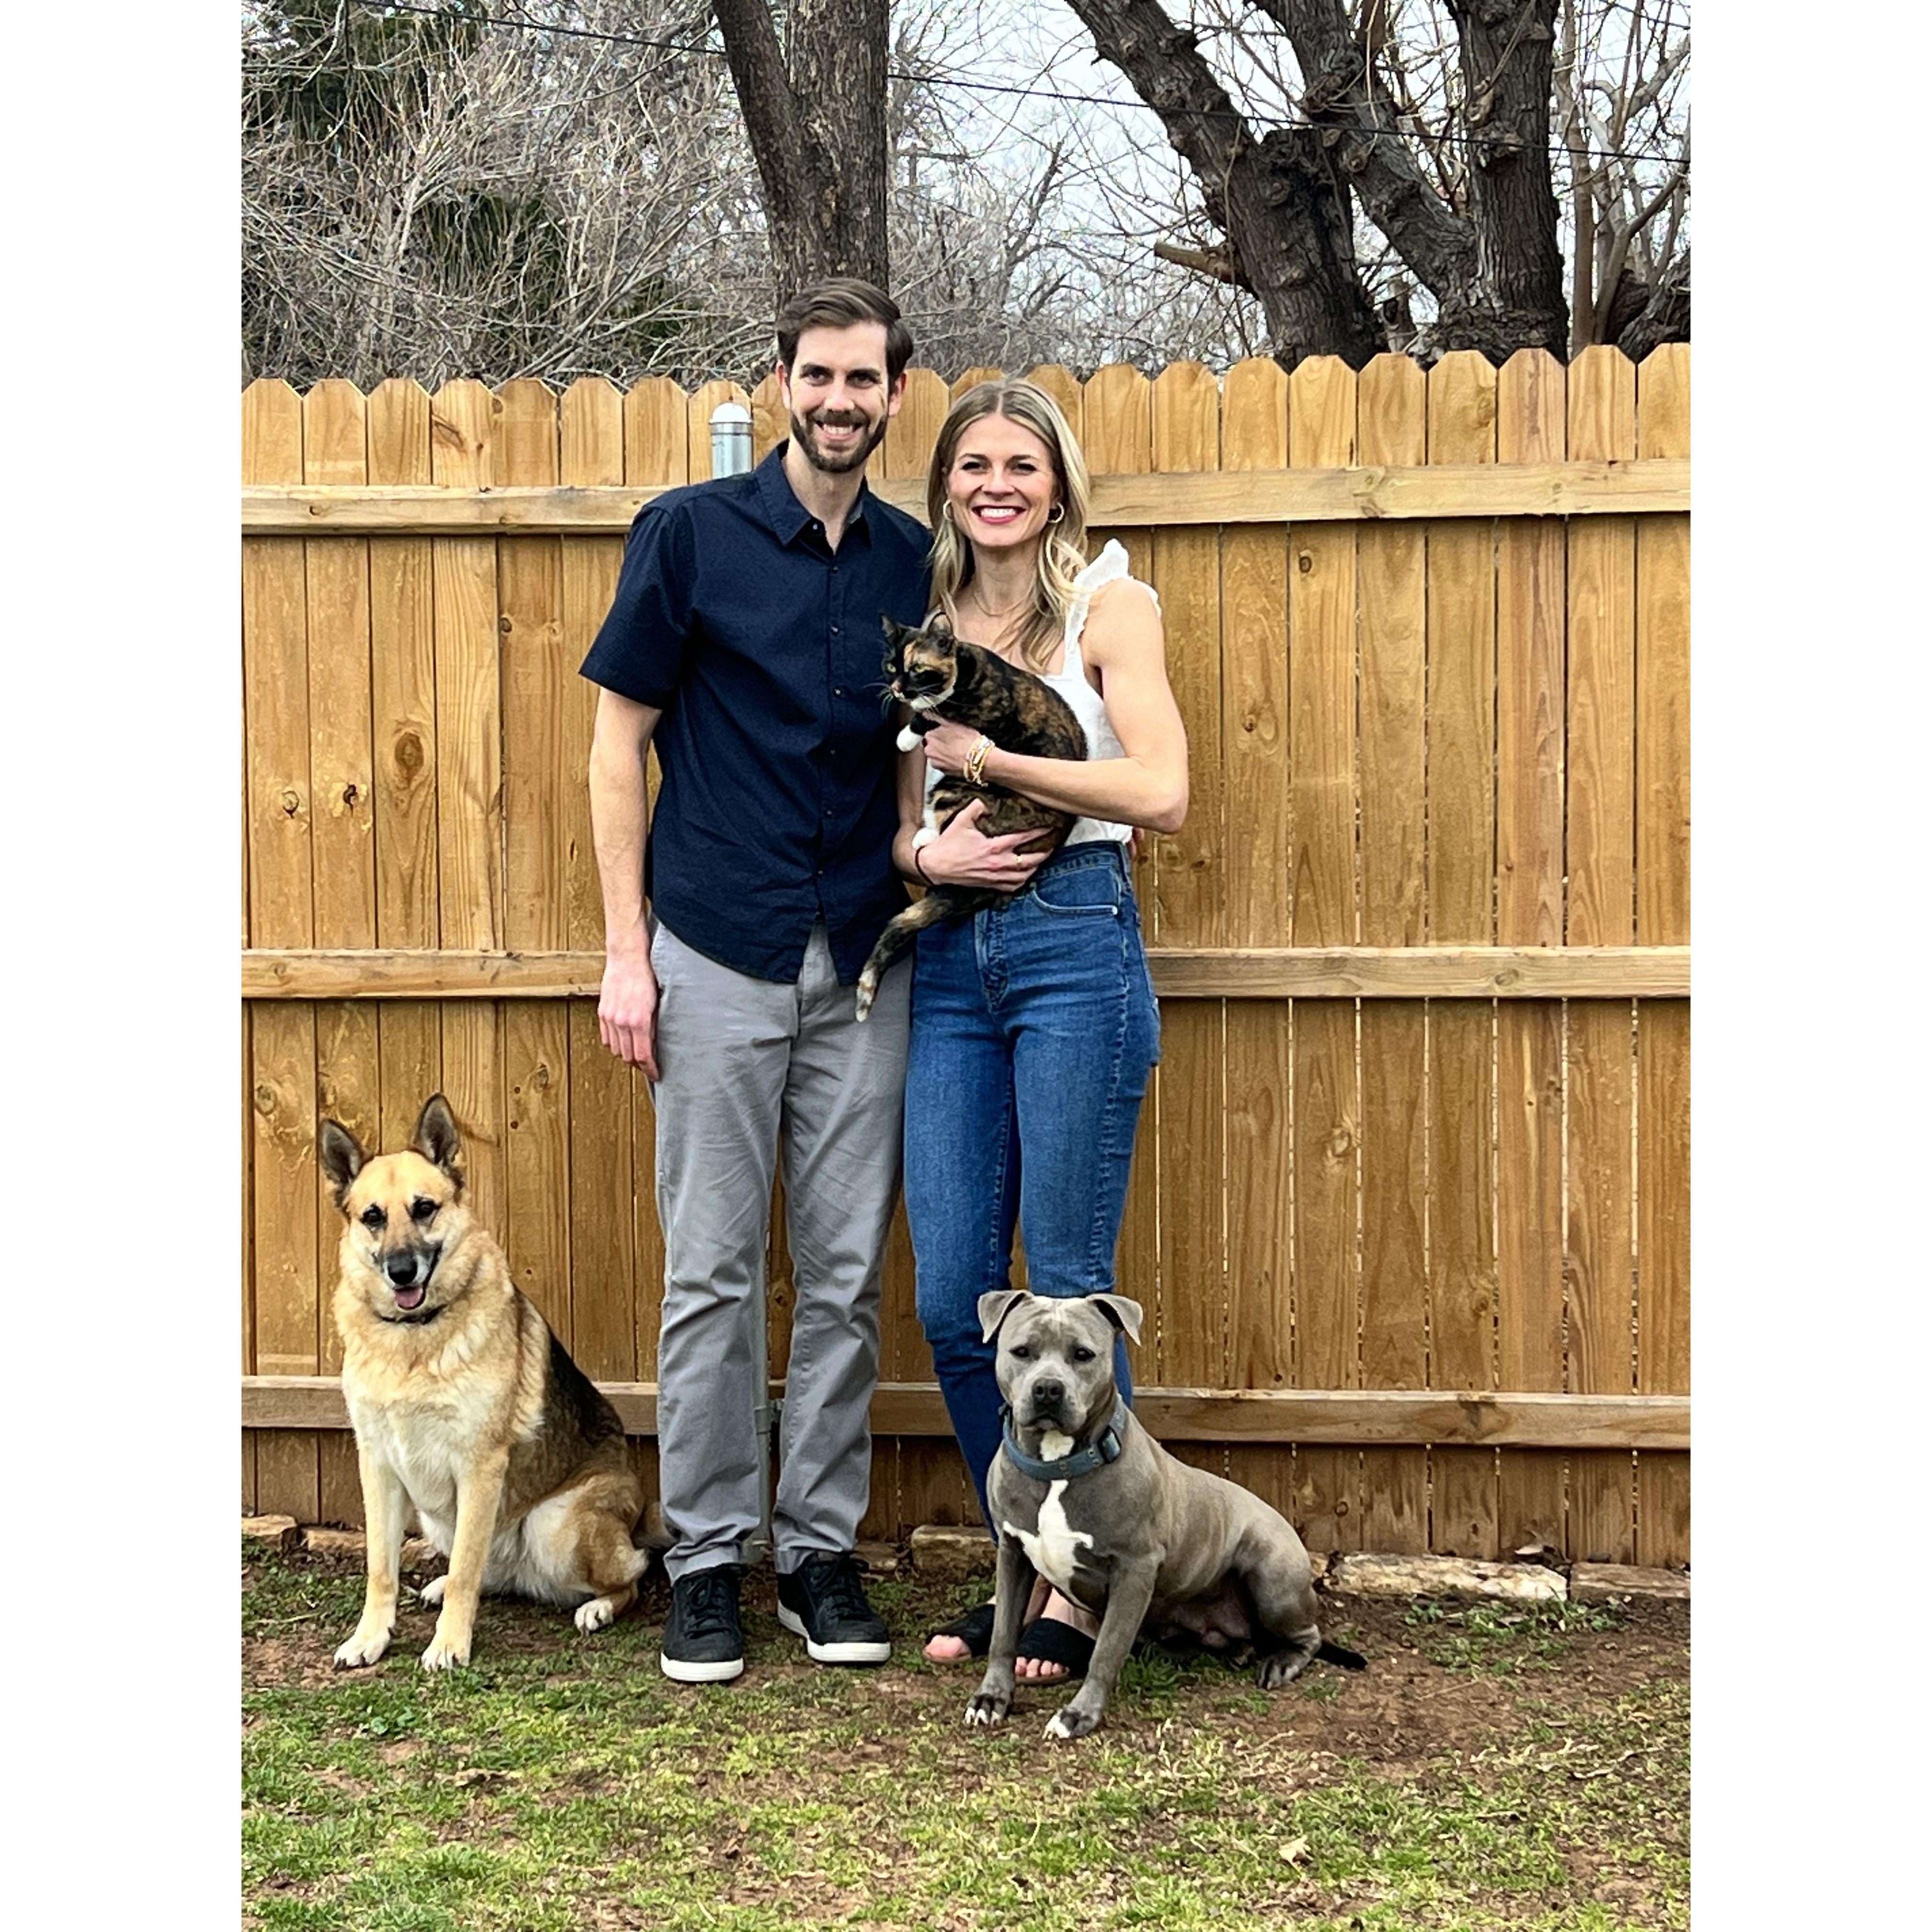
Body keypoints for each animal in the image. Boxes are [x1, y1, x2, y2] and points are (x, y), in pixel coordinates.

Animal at [317, 1097, 649, 1669]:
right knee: (483, 1571)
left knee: (630, 1576)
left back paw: (599, 1608)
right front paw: (370, 1637)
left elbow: (466, 1576)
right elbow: (382, 1568)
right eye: (373, 1217)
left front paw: (449, 1645)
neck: (415, 1336)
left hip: (555, 1525)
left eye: (424, 1208)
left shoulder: (479, 1465)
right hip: (436, 1519)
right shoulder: (378, 1466)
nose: (402, 1272)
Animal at [962, 1290, 1360, 1746]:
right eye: (1022, 1352)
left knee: (1308, 1636)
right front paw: (992, 1698)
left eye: (1083, 1354)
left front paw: (1079, 1714)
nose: (1048, 1388)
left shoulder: (1135, 1568)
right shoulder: (1013, 1555)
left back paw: (1281, 1661)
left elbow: (1106, 1650)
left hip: (1273, 1580)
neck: (1058, 1466)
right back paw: (1231, 1649)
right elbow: (1003, 1634)